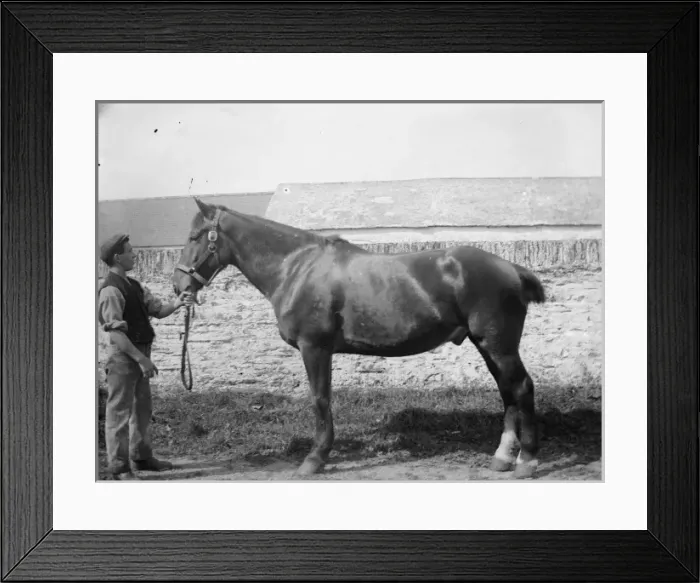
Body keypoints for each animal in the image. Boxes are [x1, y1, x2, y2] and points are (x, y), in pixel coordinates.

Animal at [172, 197, 546, 479]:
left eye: (195, 236)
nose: (179, 287)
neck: (296, 267)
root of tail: (511, 268)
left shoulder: (314, 348)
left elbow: (320, 400)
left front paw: (314, 459)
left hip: (497, 345)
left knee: (521, 389)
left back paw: (526, 461)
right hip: (487, 345)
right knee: (508, 393)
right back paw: (502, 457)